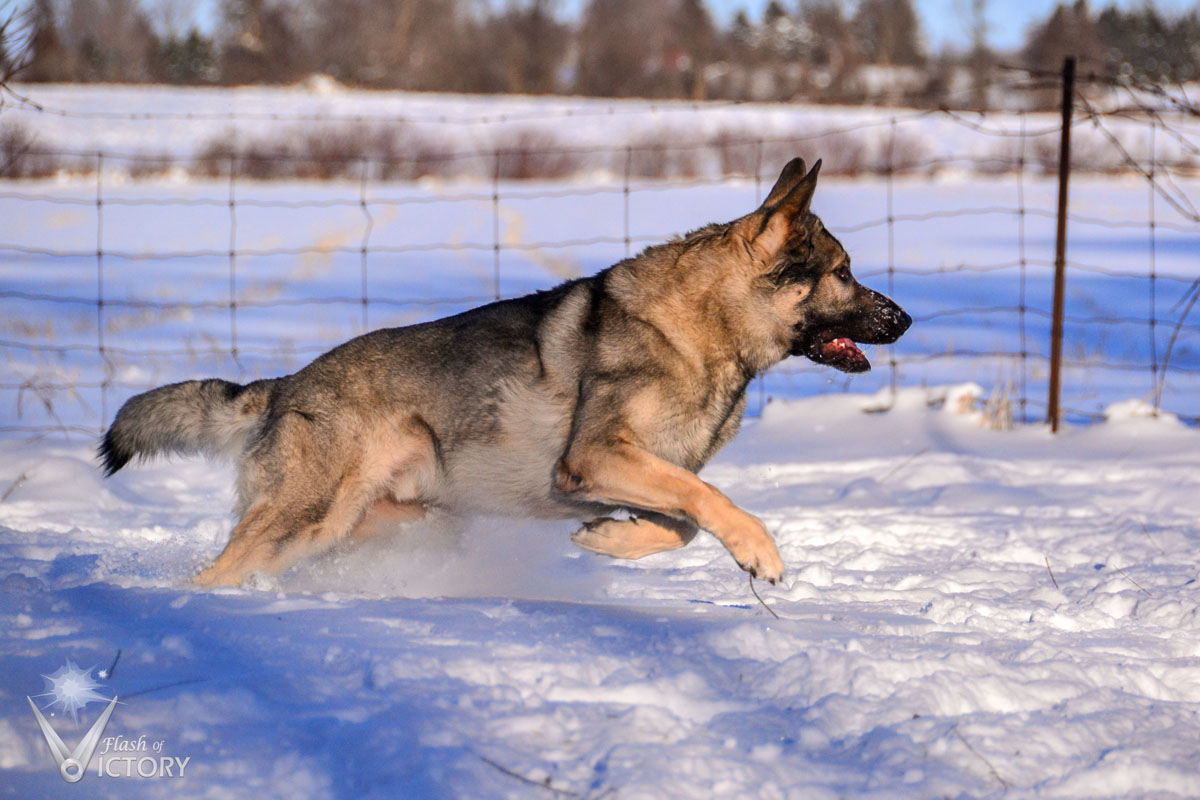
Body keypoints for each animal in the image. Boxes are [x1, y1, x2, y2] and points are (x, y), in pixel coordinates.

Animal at [100, 160, 907, 587]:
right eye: (843, 273)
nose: (904, 320)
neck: (700, 329)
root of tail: (283, 387)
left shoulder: (626, 474)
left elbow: (680, 520)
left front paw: (608, 542)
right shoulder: (597, 457)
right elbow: (709, 500)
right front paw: (758, 550)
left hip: (363, 522)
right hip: (308, 517)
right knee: (216, 574)